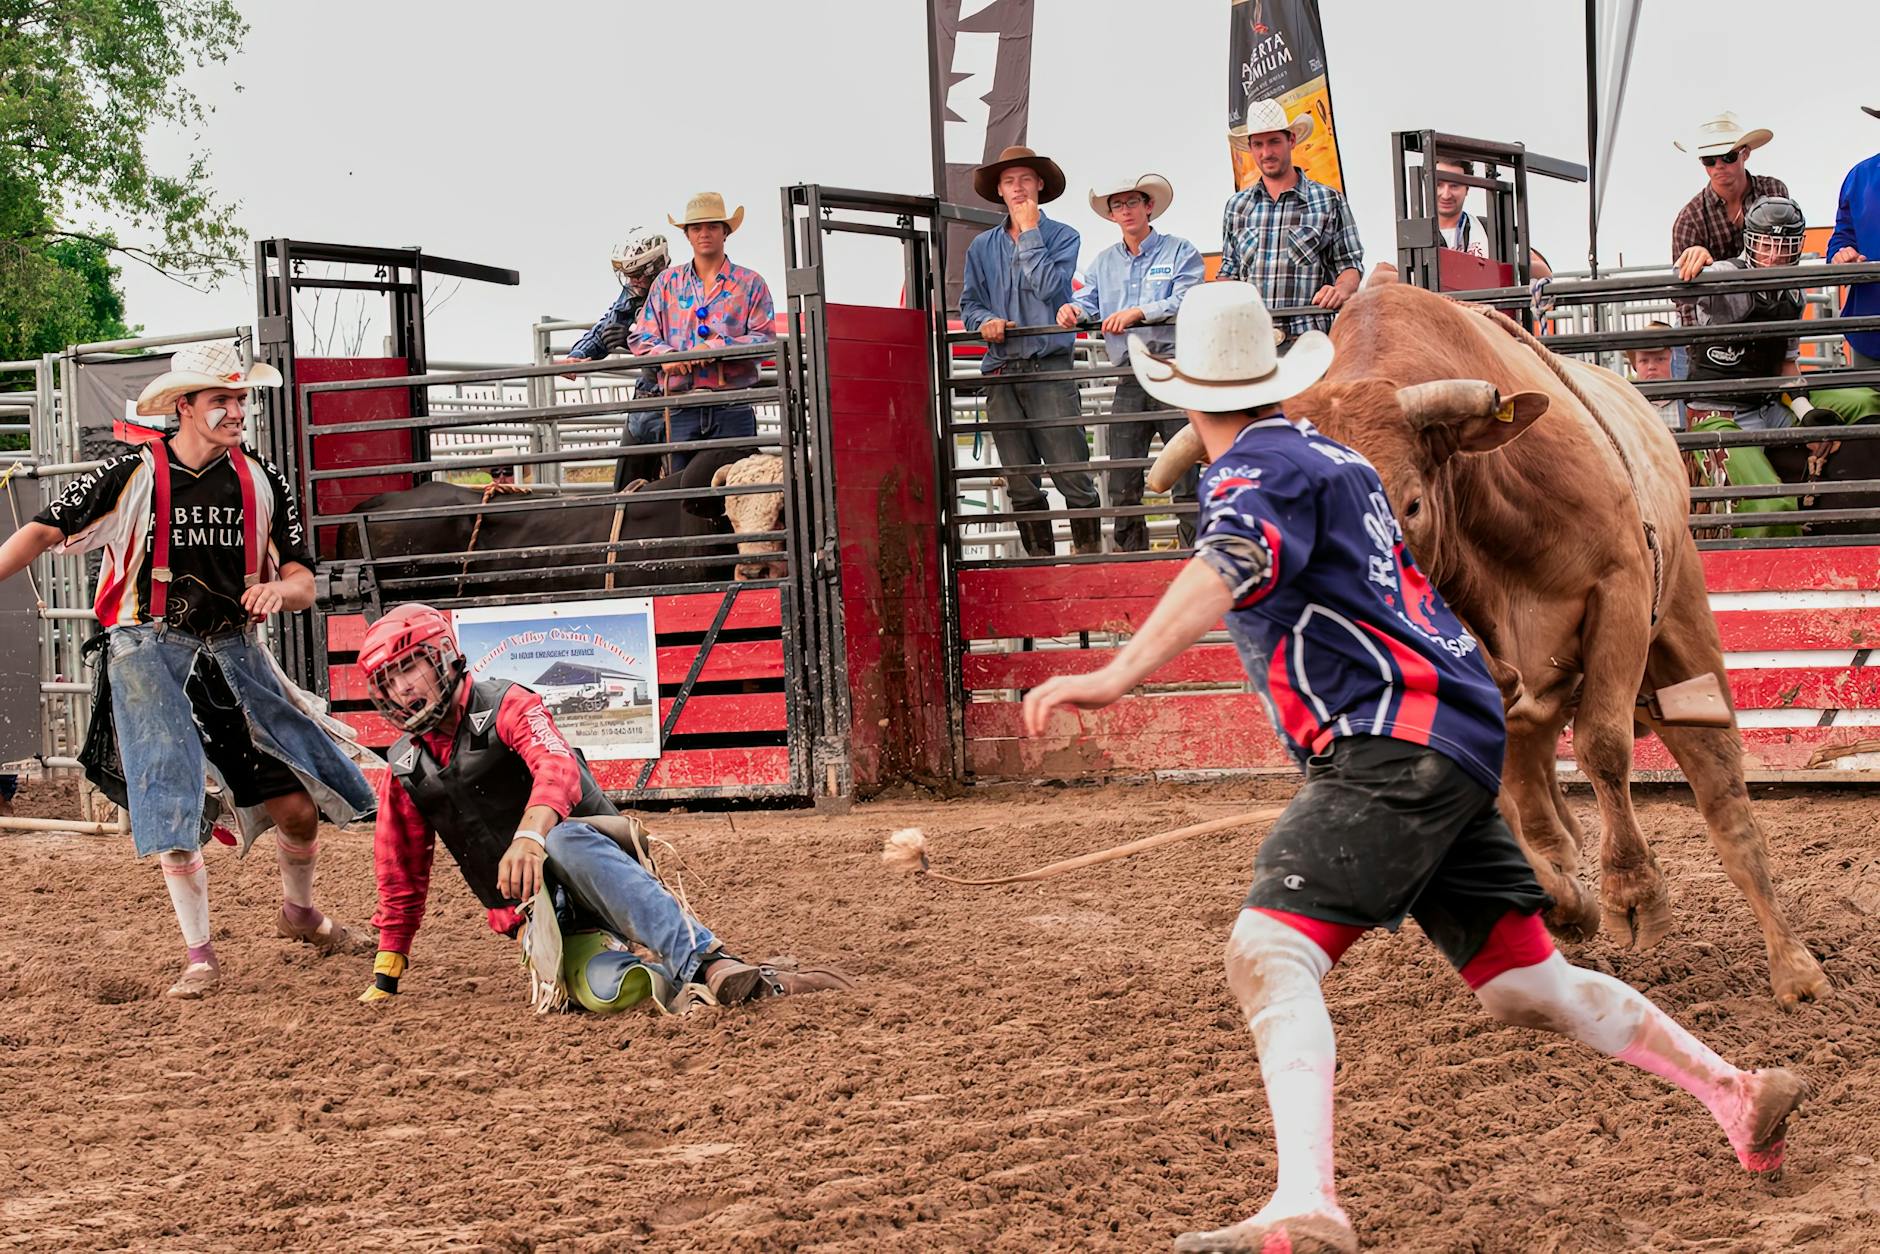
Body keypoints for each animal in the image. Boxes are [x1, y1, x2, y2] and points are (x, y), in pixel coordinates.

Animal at [1150, 283, 1827, 1007]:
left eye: (1410, 504)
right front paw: (1568, 900)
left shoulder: (1618, 587)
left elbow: (1604, 744)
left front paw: (1632, 894)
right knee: (1533, 786)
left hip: (1680, 633)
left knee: (1721, 790)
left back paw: (1794, 967)